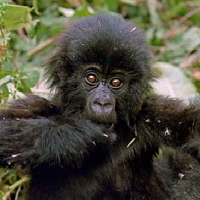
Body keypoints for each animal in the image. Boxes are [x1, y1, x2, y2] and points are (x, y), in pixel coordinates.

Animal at [0, 14, 200, 200]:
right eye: (91, 78)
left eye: (116, 82)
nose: (102, 103)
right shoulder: (37, 106)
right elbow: (6, 126)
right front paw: (81, 134)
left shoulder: (151, 114)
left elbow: (194, 133)